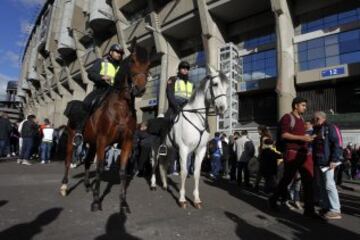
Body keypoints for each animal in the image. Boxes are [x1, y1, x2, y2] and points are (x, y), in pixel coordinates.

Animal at [59, 44, 150, 213]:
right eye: (133, 61)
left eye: (149, 64)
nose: (139, 89)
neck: (121, 108)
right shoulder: (103, 140)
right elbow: (100, 168)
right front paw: (96, 201)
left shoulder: (126, 142)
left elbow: (123, 171)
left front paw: (123, 203)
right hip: (72, 140)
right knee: (68, 161)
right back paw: (64, 186)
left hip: (92, 144)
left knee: (87, 162)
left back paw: (87, 186)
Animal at [150, 66, 229, 209]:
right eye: (215, 84)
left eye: (227, 86)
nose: (222, 108)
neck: (196, 117)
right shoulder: (183, 149)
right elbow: (184, 172)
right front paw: (182, 199)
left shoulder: (200, 150)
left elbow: (196, 173)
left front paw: (196, 200)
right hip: (155, 150)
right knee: (154, 165)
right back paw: (153, 185)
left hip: (170, 151)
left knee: (163, 165)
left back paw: (165, 185)